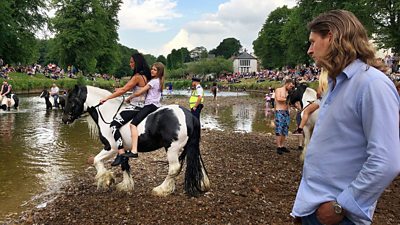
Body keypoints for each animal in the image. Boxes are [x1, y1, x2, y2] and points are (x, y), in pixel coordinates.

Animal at [61, 85, 209, 196]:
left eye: (72, 100)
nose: (64, 119)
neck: (109, 113)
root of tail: (189, 115)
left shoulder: (111, 148)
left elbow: (96, 160)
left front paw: (107, 179)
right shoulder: (123, 149)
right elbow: (124, 165)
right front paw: (125, 185)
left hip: (172, 148)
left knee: (174, 168)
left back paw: (161, 189)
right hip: (191, 145)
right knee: (196, 162)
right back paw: (203, 184)